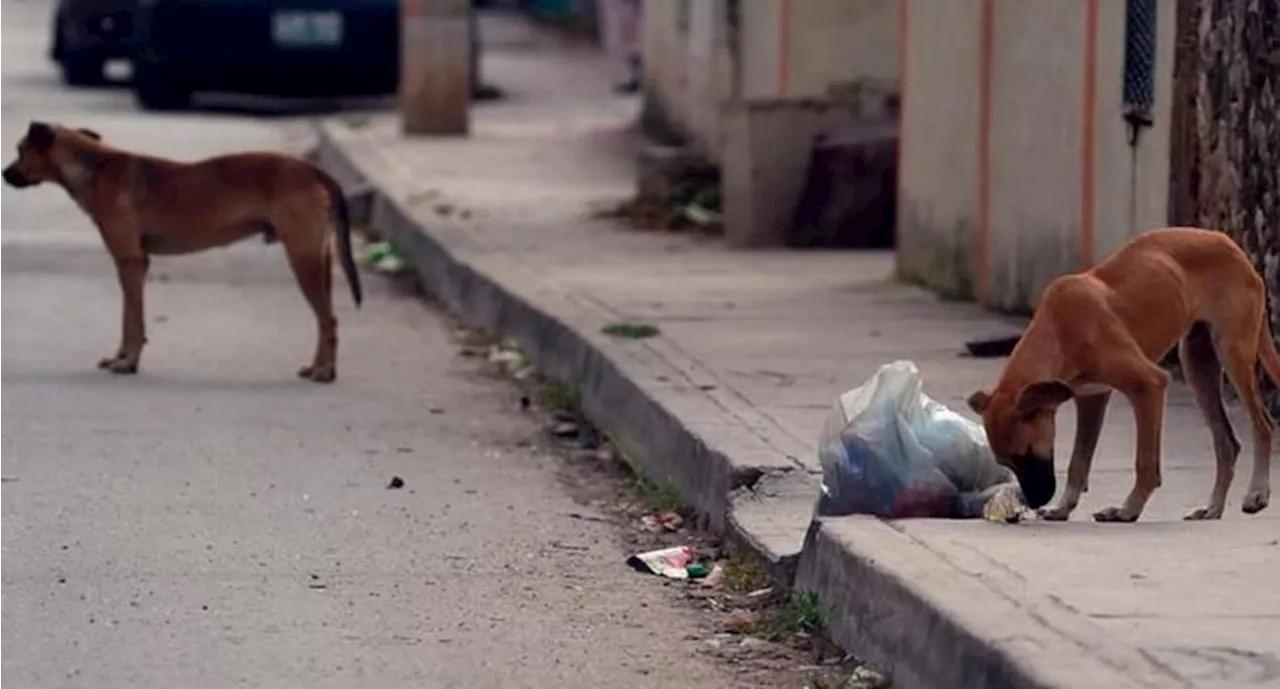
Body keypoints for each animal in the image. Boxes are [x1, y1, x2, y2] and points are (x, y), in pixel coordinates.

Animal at [2, 121, 363, 384]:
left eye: (20, 149)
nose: (4, 174)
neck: (95, 166)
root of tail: (314, 170)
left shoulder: (131, 262)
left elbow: (132, 319)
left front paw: (127, 362)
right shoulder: (134, 264)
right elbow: (128, 316)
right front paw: (122, 358)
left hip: (303, 261)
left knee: (328, 319)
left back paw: (324, 372)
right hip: (318, 260)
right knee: (326, 321)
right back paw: (318, 367)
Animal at [967, 225, 1280, 519]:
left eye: (1026, 453)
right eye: (1006, 463)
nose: (1032, 503)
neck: (1058, 329)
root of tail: (1234, 248)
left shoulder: (1149, 385)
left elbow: (1145, 463)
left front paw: (1129, 509)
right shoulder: (1091, 398)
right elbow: (1078, 461)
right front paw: (1064, 507)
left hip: (1233, 351)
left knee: (1263, 425)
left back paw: (1256, 493)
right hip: (1197, 365)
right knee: (1227, 442)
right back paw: (1213, 508)